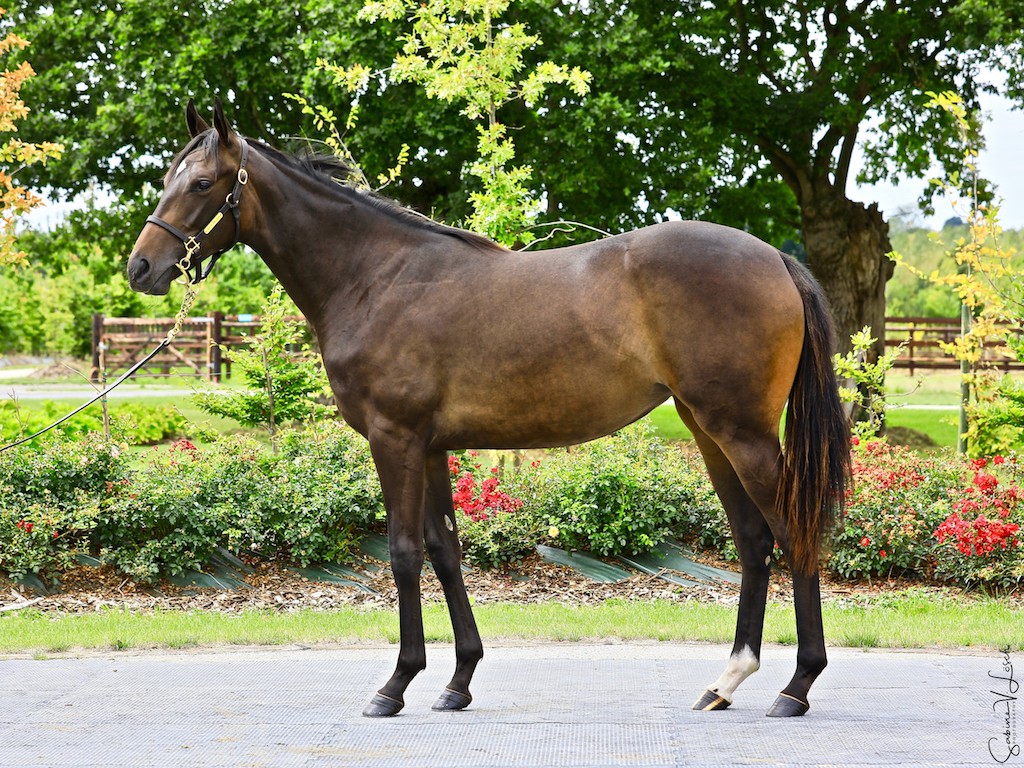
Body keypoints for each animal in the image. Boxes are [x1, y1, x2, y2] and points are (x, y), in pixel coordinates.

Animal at [128, 100, 850, 719]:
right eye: (167, 178)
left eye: (201, 183)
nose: (141, 268)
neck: (376, 277)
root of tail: (777, 258)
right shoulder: (430, 446)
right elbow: (445, 550)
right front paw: (457, 681)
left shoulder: (394, 439)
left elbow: (403, 553)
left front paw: (394, 686)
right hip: (709, 431)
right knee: (754, 540)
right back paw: (725, 682)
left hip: (743, 433)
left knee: (792, 532)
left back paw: (797, 686)